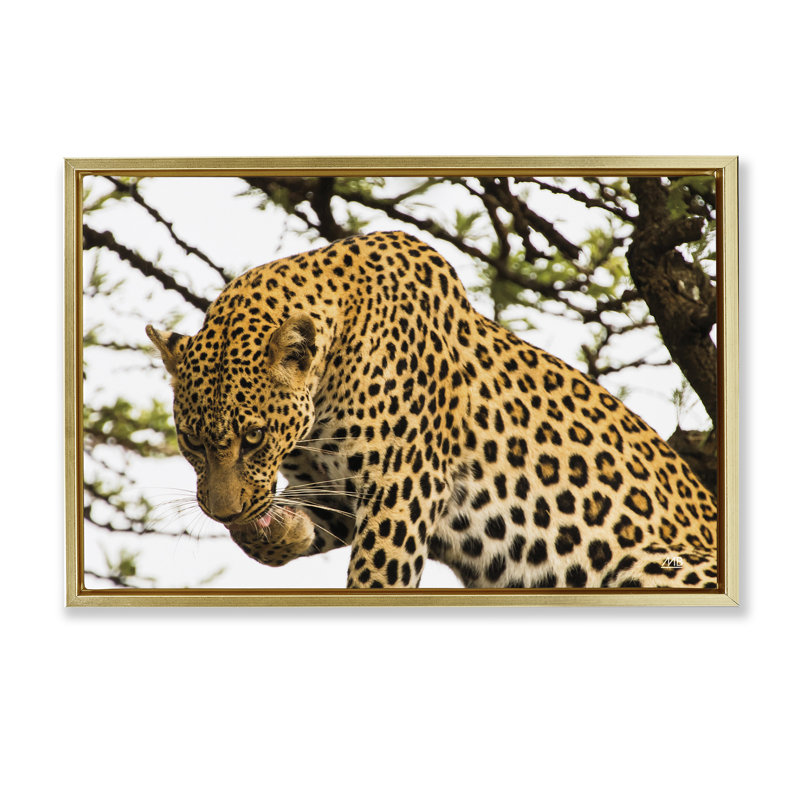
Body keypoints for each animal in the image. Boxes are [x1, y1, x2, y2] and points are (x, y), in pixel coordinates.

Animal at [146, 230, 718, 590]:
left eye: (255, 438)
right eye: (191, 441)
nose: (223, 512)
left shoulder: (402, 487)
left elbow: (376, 577)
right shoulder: (338, 490)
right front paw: (278, 531)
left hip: (655, 563)